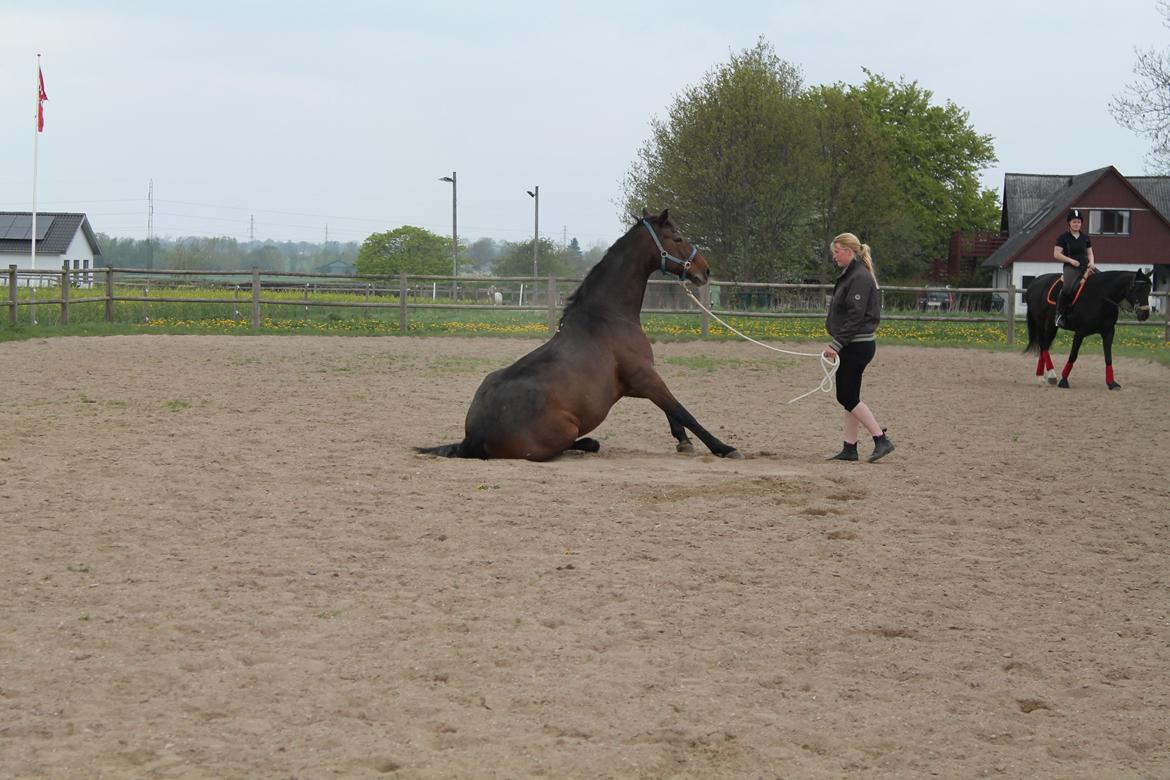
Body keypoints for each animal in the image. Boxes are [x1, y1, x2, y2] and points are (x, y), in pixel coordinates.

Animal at [418, 210, 739, 460]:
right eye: (678, 238)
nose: (705, 271)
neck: (609, 317)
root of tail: (473, 435)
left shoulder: (639, 382)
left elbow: (670, 408)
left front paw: (684, 442)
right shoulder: (644, 376)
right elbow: (681, 409)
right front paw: (723, 448)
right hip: (565, 430)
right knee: (572, 445)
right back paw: (590, 442)